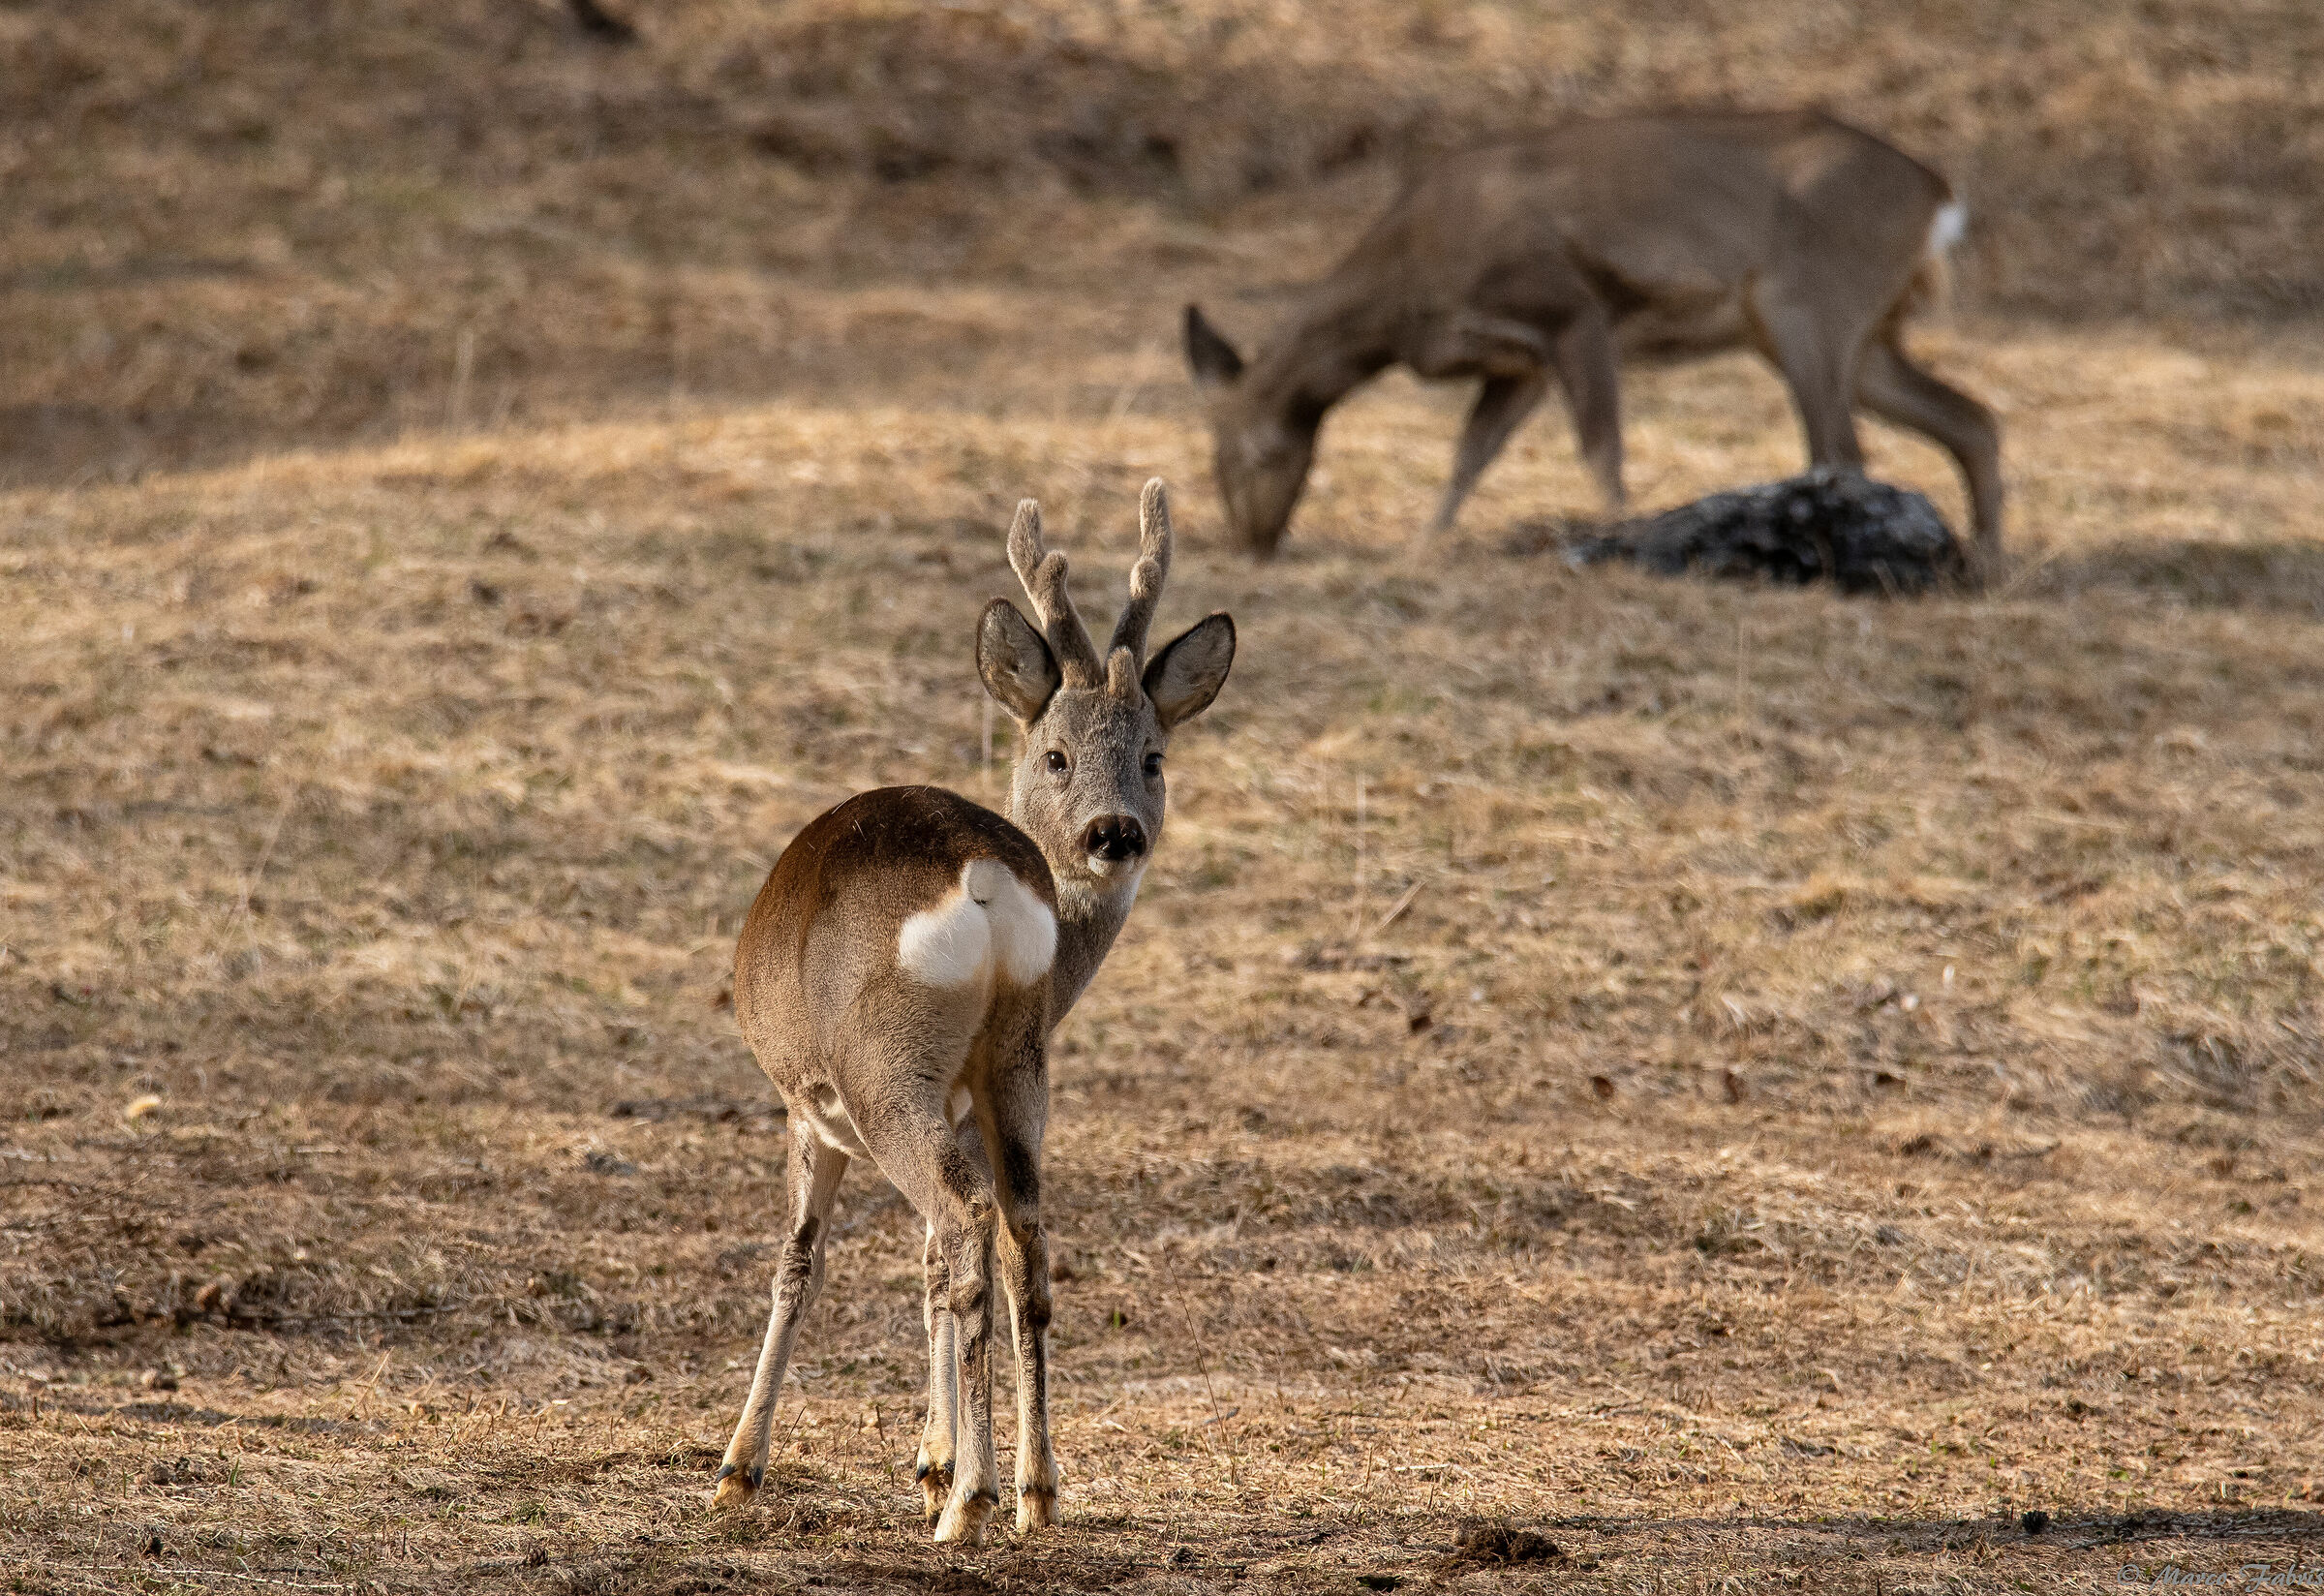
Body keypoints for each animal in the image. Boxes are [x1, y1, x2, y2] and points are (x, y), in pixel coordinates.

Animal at [707, 480, 1236, 1545]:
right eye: (1059, 753)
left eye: (1154, 758)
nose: (1115, 832)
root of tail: (986, 877)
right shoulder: (968, 1103)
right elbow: (925, 1275)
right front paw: (930, 1458)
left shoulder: (807, 1108)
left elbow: (799, 1264)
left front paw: (742, 1467)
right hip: (1016, 1064)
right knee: (1023, 1237)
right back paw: (1033, 1490)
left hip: (883, 1069)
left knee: (963, 1222)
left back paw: (973, 1503)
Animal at [1184, 108, 2003, 570]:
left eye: (1247, 455)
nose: (1251, 544)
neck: (1406, 296)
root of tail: (1941, 197)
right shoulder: (1518, 363)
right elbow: (1469, 455)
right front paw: (1423, 548)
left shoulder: (1571, 308)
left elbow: (1599, 447)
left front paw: (1618, 535)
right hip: (1858, 333)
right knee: (1972, 419)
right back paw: (1988, 562)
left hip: (1811, 301)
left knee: (1841, 449)